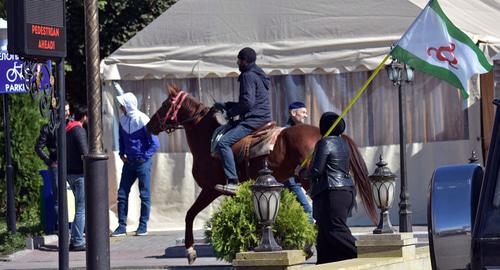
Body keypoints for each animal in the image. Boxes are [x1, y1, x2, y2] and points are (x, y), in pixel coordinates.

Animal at [145, 86, 376, 264]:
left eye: (165, 104)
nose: (149, 126)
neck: (208, 140)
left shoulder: (210, 190)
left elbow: (190, 215)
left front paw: (191, 251)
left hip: (308, 181)